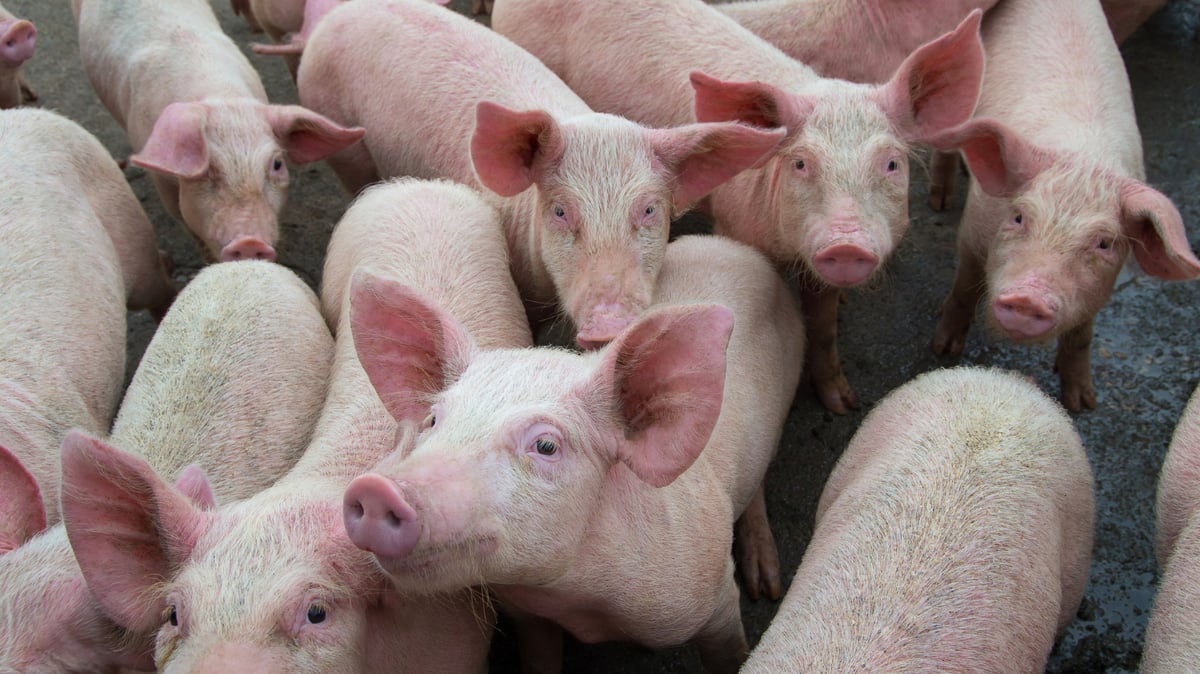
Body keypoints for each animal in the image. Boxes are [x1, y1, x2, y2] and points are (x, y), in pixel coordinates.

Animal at [342, 234, 804, 672]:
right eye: (434, 420)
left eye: (547, 445)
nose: (376, 489)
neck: (574, 602)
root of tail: (730, 246)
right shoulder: (528, 615)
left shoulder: (713, 597)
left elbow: (729, 650)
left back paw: (766, 583)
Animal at [492, 0, 984, 413]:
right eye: (801, 163)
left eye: (892, 163)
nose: (847, 243)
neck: (787, 248)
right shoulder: (732, 219)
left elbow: (824, 325)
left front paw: (844, 404)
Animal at [925, 0, 1200, 412]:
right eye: (1019, 217)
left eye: (1104, 243)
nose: (1028, 298)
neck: (1082, 159)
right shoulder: (973, 230)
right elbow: (965, 286)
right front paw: (944, 350)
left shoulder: (1103, 286)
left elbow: (1083, 334)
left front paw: (1082, 403)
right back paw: (940, 199)